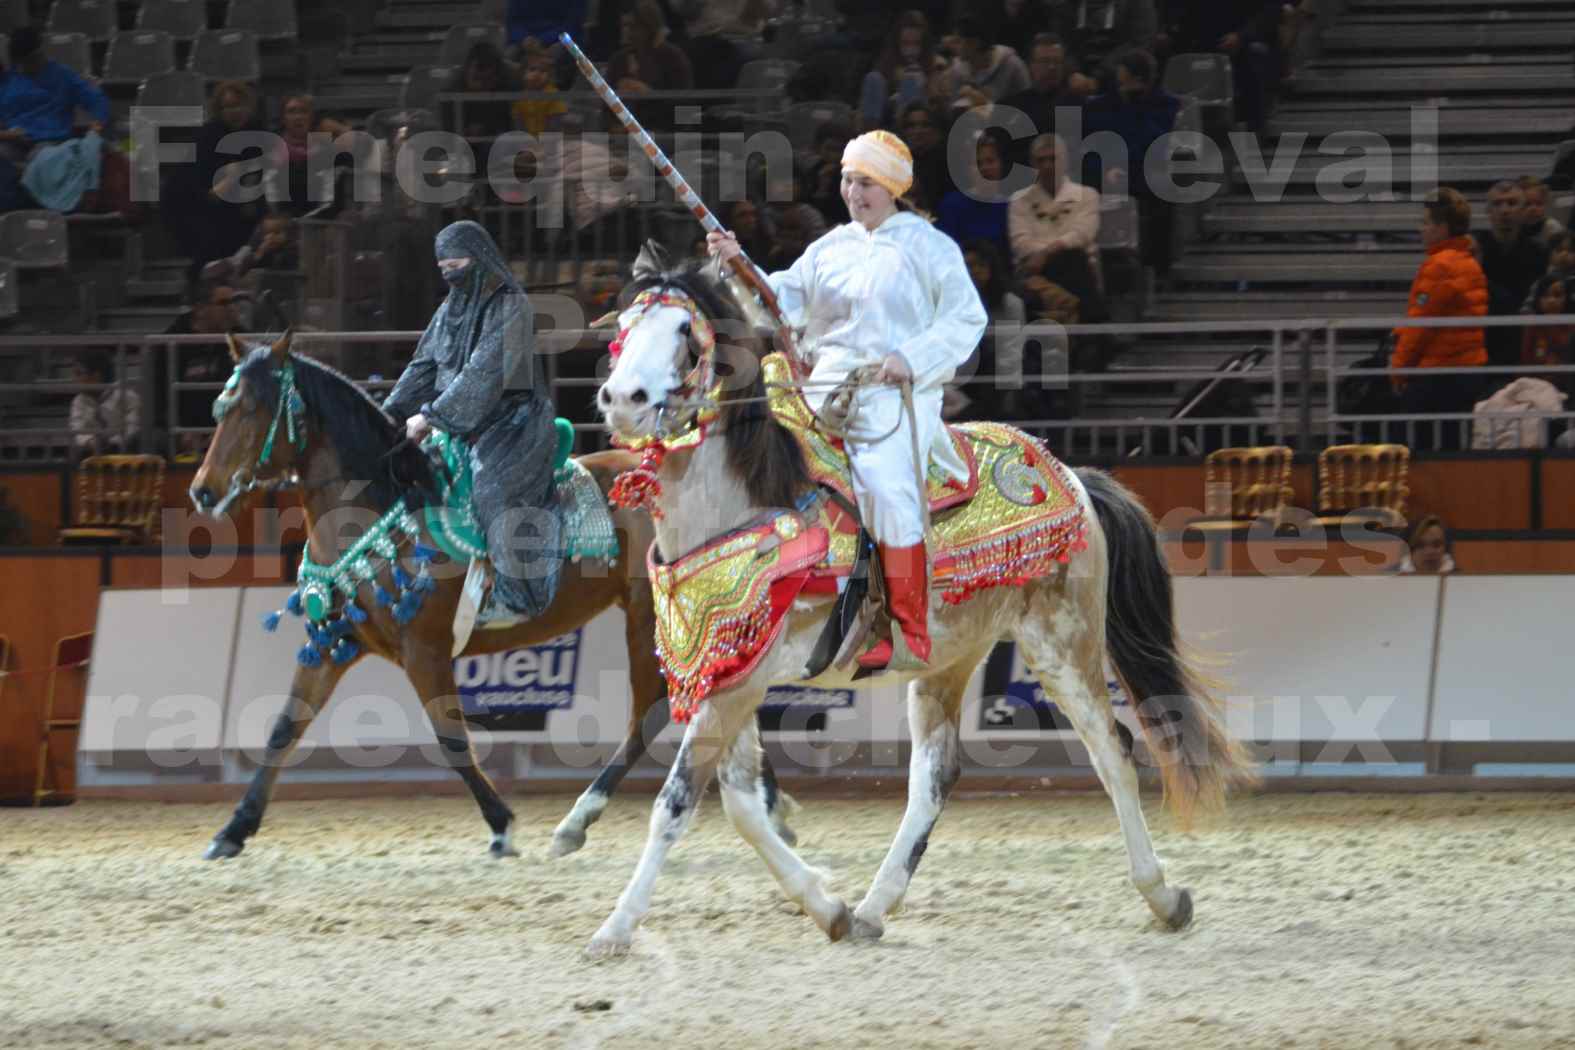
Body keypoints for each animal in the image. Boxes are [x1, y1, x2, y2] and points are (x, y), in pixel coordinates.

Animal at [187, 335, 800, 862]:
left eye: (253, 408)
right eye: (220, 409)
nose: (202, 492)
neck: (383, 511)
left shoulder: (425, 651)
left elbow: (452, 740)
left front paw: (502, 824)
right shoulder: (335, 643)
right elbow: (284, 728)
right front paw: (233, 829)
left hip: (651, 619)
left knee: (649, 717)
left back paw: (579, 819)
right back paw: (770, 805)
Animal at [585, 250, 1260, 957]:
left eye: (686, 335)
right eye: (623, 330)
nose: (622, 400)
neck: (750, 509)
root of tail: (1071, 473)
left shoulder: (741, 685)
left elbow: (677, 802)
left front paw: (616, 927)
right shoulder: (728, 670)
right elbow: (741, 805)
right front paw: (827, 906)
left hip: (1063, 644)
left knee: (1113, 751)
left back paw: (1163, 895)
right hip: (948, 660)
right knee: (936, 776)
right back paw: (872, 908)